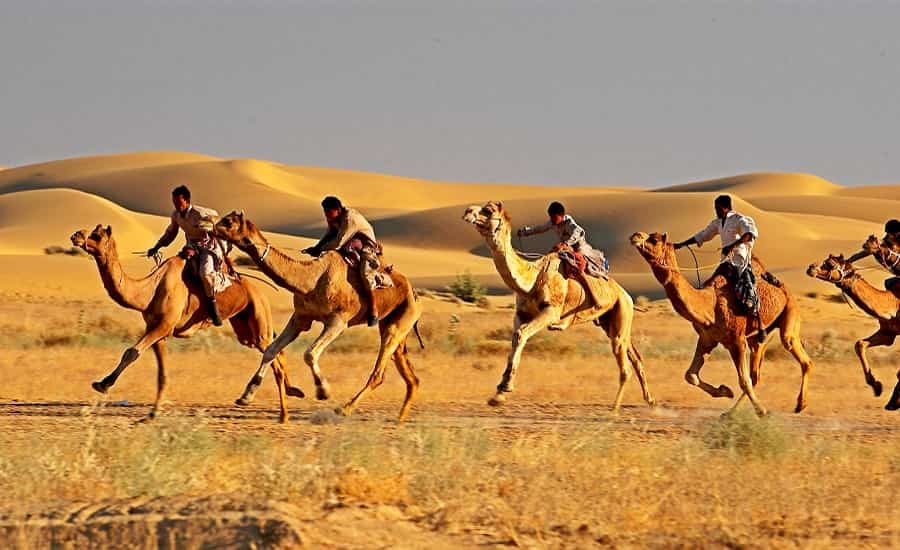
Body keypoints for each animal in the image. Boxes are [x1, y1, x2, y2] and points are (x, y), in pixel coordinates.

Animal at [70, 224, 302, 422]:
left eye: (97, 235)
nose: (76, 235)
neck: (149, 290)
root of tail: (260, 293)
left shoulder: (163, 326)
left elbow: (131, 352)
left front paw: (103, 384)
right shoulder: (157, 330)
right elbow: (162, 374)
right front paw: (152, 414)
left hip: (259, 316)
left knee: (273, 355)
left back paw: (272, 409)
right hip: (244, 329)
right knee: (276, 351)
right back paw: (288, 398)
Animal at [214, 211, 422, 422]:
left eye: (228, 222)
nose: (212, 226)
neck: (312, 279)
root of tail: (414, 292)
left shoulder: (338, 322)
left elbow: (309, 353)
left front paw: (323, 390)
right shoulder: (300, 317)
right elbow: (270, 351)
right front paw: (247, 395)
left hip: (400, 320)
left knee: (379, 371)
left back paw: (344, 409)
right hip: (393, 324)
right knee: (410, 375)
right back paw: (400, 418)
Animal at [464, 202, 652, 410]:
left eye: (488, 210)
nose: (468, 211)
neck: (533, 278)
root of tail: (627, 296)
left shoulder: (550, 312)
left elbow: (522, 334)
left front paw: (504, 388)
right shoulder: (521, 313)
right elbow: (517, 337)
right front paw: (498, 395)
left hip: (622, 311)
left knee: (624, 361)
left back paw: (615, 408)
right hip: (609, 321)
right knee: (634, 355)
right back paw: (649, 400)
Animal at [628, 231, 812, 416]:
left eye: (654, 239)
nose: (635, 236)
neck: (710, 305)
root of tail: (786, 290)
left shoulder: (736, 340)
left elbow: (743, 380)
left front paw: (761, 411)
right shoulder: (707, 338)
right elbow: (691, 375)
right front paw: (725, 391)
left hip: (790, 312)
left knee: (798, 355)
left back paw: (800, 404)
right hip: (759, 337)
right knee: (756, 374)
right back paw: (731, 412)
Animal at [804, 254, 900, 410]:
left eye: (830, 264)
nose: (811, 268)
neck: (893, 303)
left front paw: (894, 400)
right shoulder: (888, 333)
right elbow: (859, 344)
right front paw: (876, 386)